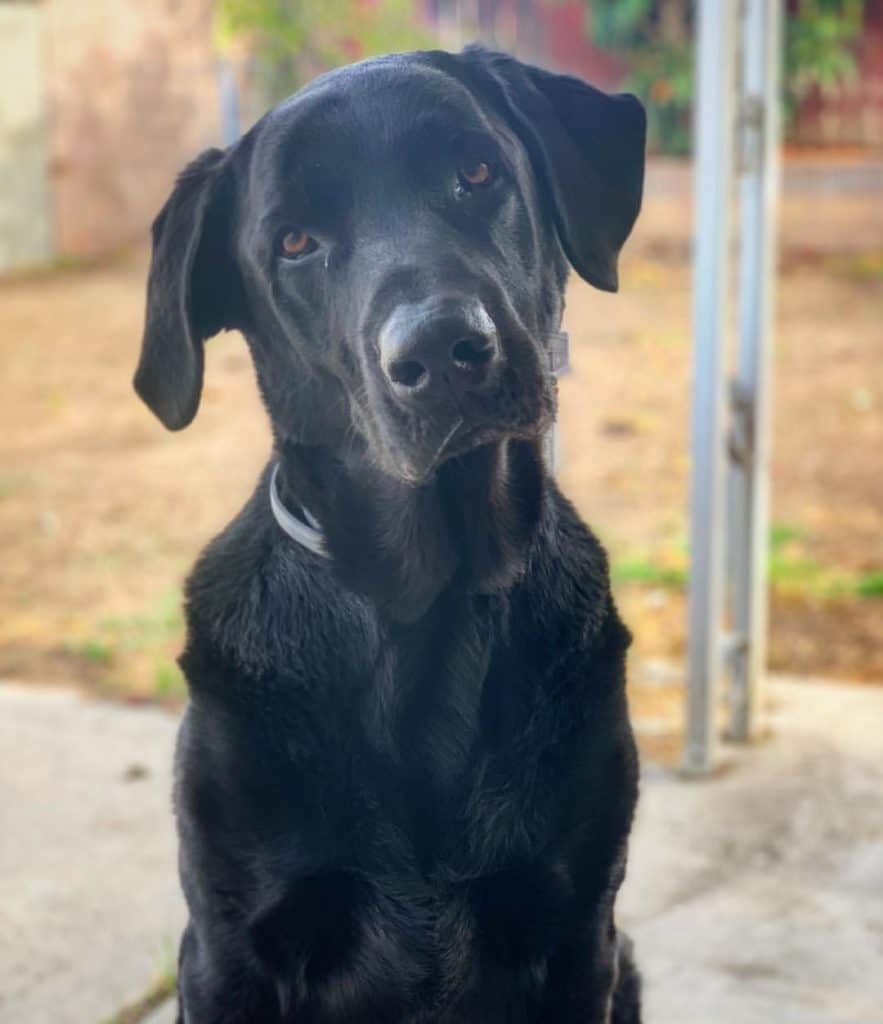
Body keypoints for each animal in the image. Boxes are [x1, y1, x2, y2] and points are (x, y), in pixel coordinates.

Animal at [135, 44, 647, 1019]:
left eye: (475, 173)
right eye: (294, 242)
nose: (442, 351)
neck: (429, 609)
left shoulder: (580, 933)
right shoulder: (224, 951)